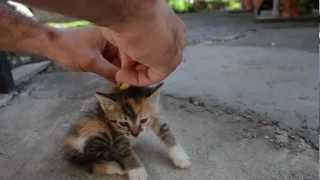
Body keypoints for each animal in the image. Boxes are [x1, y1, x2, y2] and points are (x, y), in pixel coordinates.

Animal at [63, 84, 191, 180]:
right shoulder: (116, 135)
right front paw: (137, 171)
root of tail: (67, 141)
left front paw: (180, 156)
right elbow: (126, 151)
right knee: (89, 160)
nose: (135, 134)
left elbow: (166, 130)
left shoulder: (155, 114)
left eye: (143, 120)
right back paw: (117, 167)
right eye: (123, 124)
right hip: (98, 129)